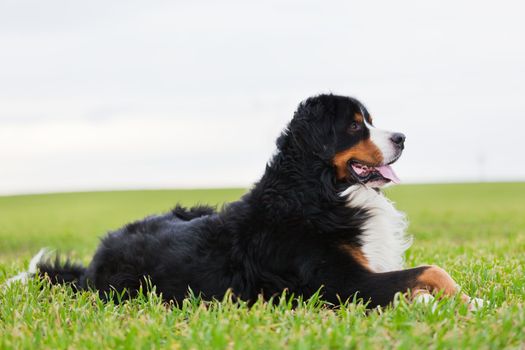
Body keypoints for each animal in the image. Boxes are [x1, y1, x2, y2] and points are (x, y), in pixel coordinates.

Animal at [6, 93, 486, 308]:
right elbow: (429, 271)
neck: (316, 191)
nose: (402, 137)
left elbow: (430, 273)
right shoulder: (343, 284)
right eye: (354, 126)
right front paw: (464, 303)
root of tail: (93, 264)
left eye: (369, 120)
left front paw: (464, 301)